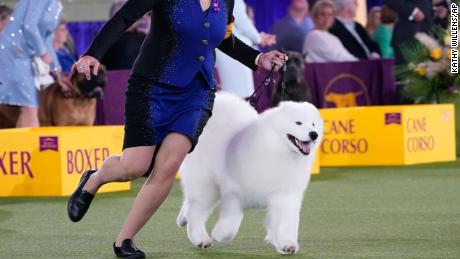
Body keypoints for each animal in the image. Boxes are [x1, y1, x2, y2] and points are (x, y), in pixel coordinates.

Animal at [176, 92, 324, 255]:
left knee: (190, 203)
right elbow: (230, 226)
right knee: (196, 211)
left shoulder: (285, 195)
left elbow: (287, 223)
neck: (278, 149)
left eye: (313, 124)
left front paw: (287, 244)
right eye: (298, 123)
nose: (314, 134)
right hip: (206, 184)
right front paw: (219, 234)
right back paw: (201, 239)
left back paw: (183, 219)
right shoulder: (235, 194)